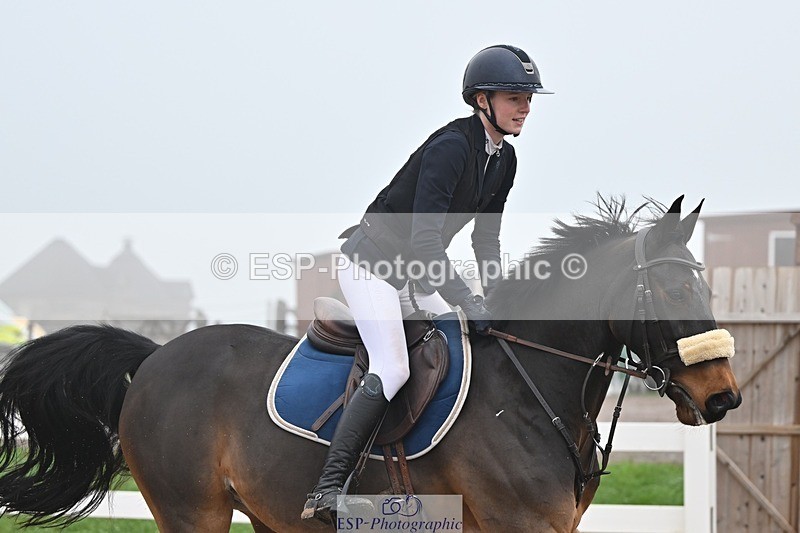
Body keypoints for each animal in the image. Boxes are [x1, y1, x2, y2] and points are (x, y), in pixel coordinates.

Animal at [0, 196, 741, 532]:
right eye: (674, 291)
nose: (723, 397)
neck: (531, 388)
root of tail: (156, 355)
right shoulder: (518, 523)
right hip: (191, 510)